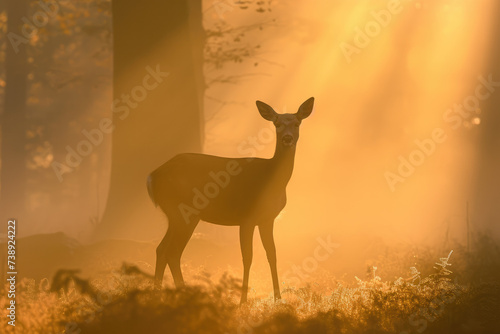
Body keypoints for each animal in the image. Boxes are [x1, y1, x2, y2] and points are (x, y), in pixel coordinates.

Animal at [146, 96, 314, 302]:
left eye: (297, 123)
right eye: (277, 124)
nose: (287, 138)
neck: (271, 181)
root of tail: (152, 177)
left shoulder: (267, 219)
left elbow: (272, 254)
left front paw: (278, 299)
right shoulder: (247, 217)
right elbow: (247, 257)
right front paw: (242, 302)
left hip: (176, 215)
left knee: (162, 249)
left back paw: (159, 294)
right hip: (182, 211)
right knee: (172, 251)